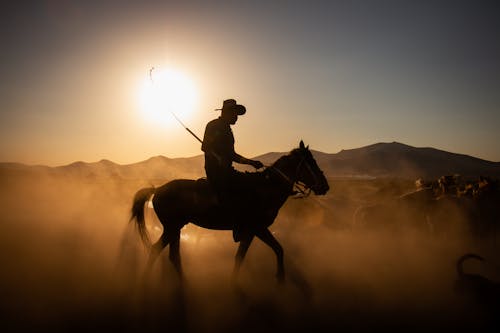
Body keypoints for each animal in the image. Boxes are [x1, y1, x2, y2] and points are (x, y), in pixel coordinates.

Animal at [131, 139, 330, 282]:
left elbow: (268, 251)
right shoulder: (256, 228)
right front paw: (278, 279)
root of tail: (157, 189)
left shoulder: (253, 230)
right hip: (172, 228)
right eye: (311, 162)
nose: (325, 186)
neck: (266, 188)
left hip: (176, 228)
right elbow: (262, 252)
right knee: (156, 250)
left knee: (173, 255)